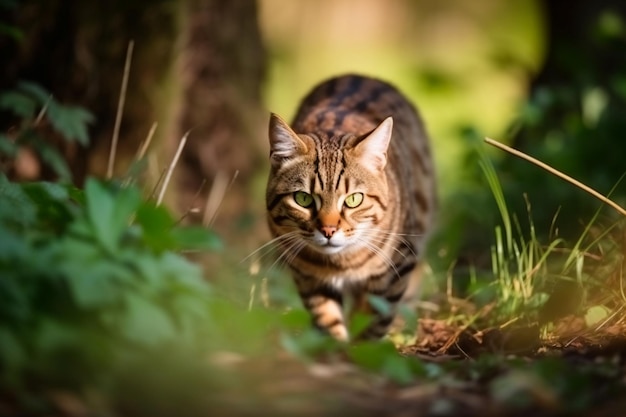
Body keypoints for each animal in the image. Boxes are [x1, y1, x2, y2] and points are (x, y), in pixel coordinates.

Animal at [264, 74, 434, 342]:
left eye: (354, 199)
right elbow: (327, 320)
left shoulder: (396, 267)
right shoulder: (307, 276)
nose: (328, 230)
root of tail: (358, 75)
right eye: (303, 199)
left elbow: (374, 322)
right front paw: (335, 346)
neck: (341, 263)